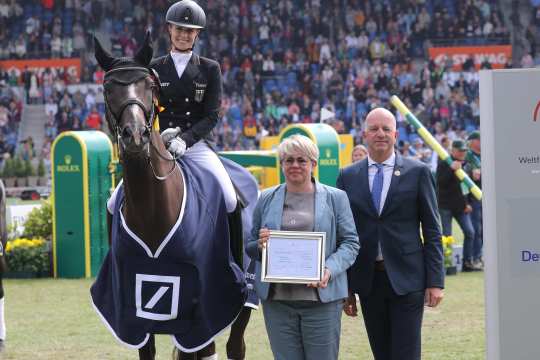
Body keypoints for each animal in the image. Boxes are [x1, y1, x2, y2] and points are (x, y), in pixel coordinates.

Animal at [90, 32, 258, 358]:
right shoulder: (135, 310)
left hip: (243, 298)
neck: (152, 211)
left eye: (150, 86)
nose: (135, 136)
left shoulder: (201, 307)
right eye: (107, 88)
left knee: (235, 346)